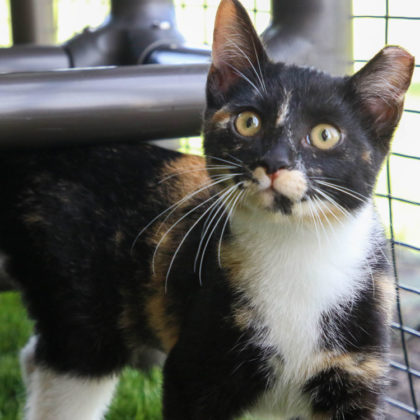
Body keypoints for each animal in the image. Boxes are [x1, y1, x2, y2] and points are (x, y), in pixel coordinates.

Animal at [0, 0, 414, 418]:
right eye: (248, 121)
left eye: (326, 135)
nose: (274, 162)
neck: (296, 252)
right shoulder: (194, 368)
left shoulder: (358, 368)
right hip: (79, 292)